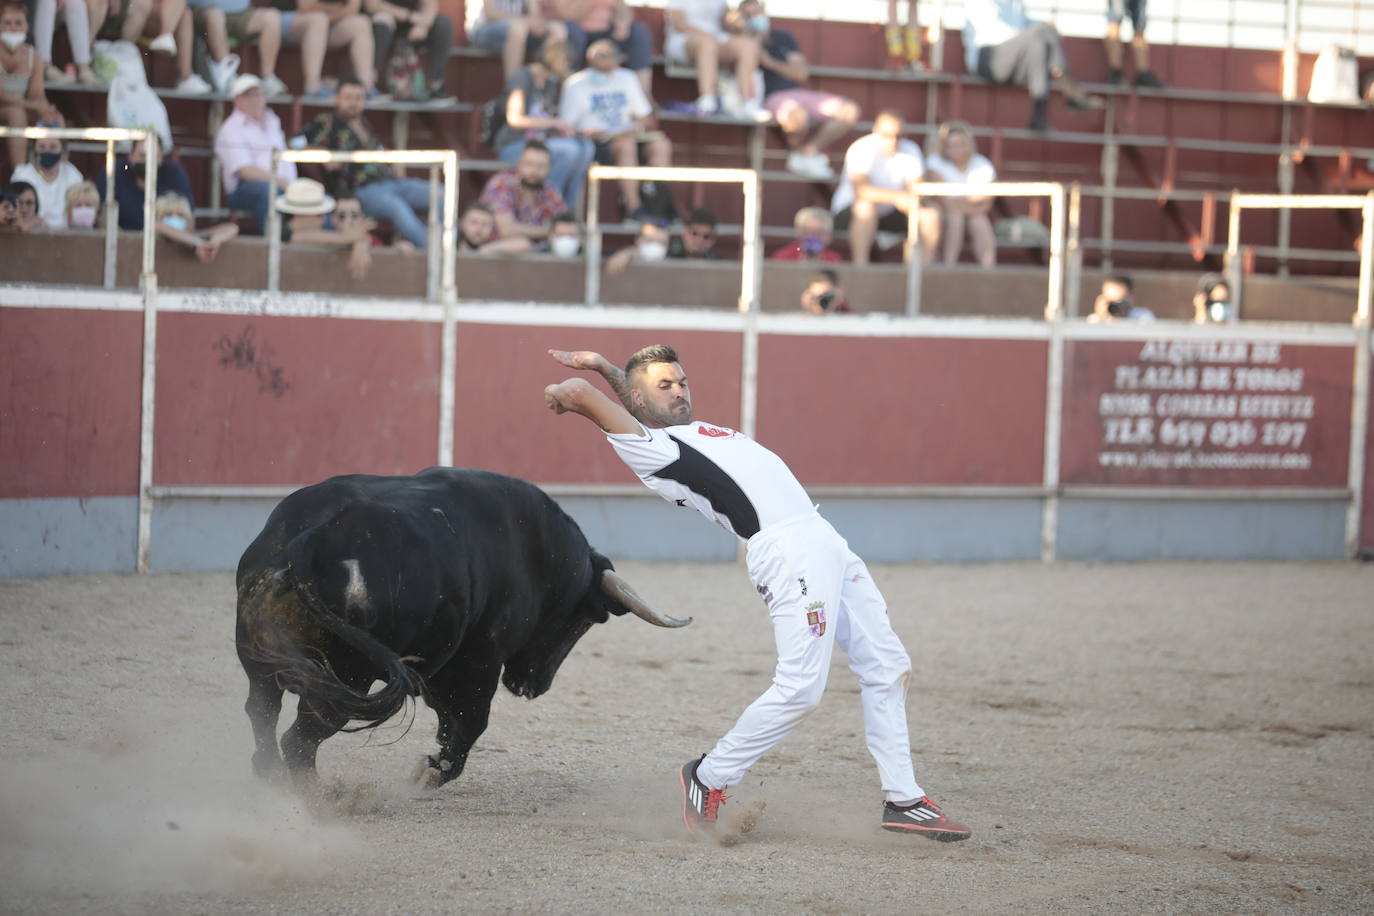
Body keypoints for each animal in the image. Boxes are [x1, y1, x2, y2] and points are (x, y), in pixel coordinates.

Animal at [236, 469, 692, 785]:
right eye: (587, 620)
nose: (534, 686)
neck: (536, 552)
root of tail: (312, 540)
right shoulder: (478, 662)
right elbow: (471, 720)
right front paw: (432, 772)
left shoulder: (443, 667)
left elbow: (449, 720)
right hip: (350, 677)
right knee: (301, 738)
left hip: (264, 661)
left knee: (263, 712)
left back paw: (270, 776)